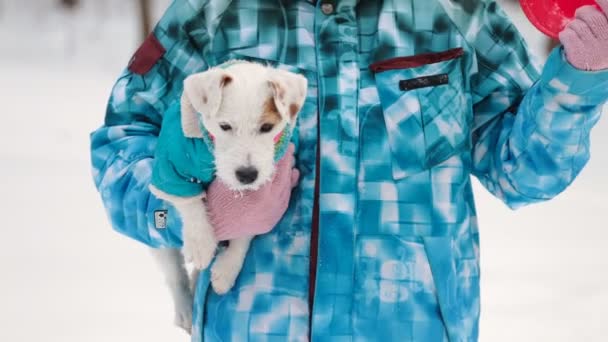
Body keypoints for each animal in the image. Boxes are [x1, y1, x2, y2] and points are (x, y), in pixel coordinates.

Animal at [148, 60, 308, 332]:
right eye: (224, 126)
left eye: (267, 127)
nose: (247, 175)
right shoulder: (172, 167)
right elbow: (190, 202)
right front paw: (201, 243)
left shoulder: (267, 192)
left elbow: (246, 226)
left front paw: (227, 269)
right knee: (173, 272)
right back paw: (185, 308)